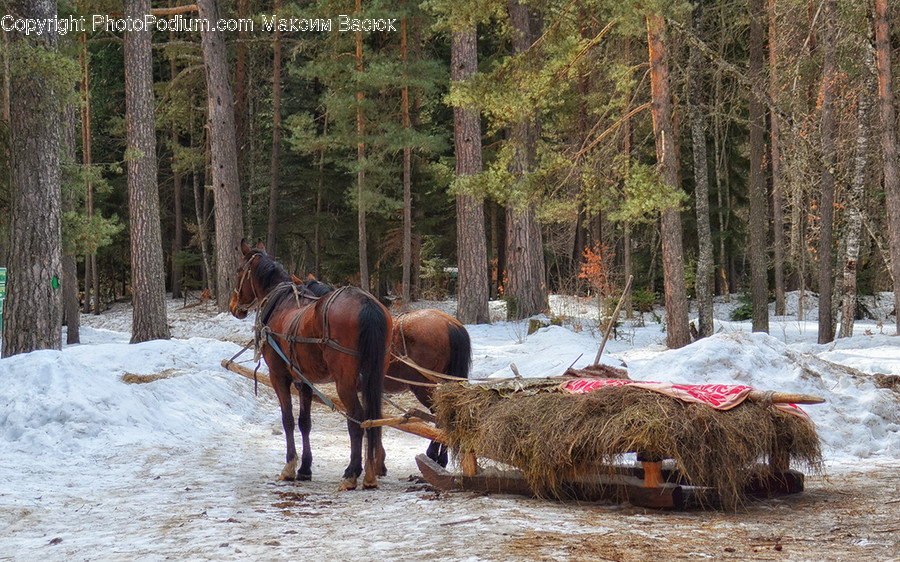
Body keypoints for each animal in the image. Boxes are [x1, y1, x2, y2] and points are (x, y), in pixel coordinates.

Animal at [230, 240, 392, 490]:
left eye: (239, 271)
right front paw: (305, 468)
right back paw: (370, 472)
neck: (279, 303)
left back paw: (352, 472)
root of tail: (366, 303)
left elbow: (288, 419)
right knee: (373, 418)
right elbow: (304, 422)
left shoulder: (279, 375)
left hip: (345, 381)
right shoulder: (304, 380)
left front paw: (289, 466)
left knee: (357, 418)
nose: (233, 306)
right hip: (374, 375)